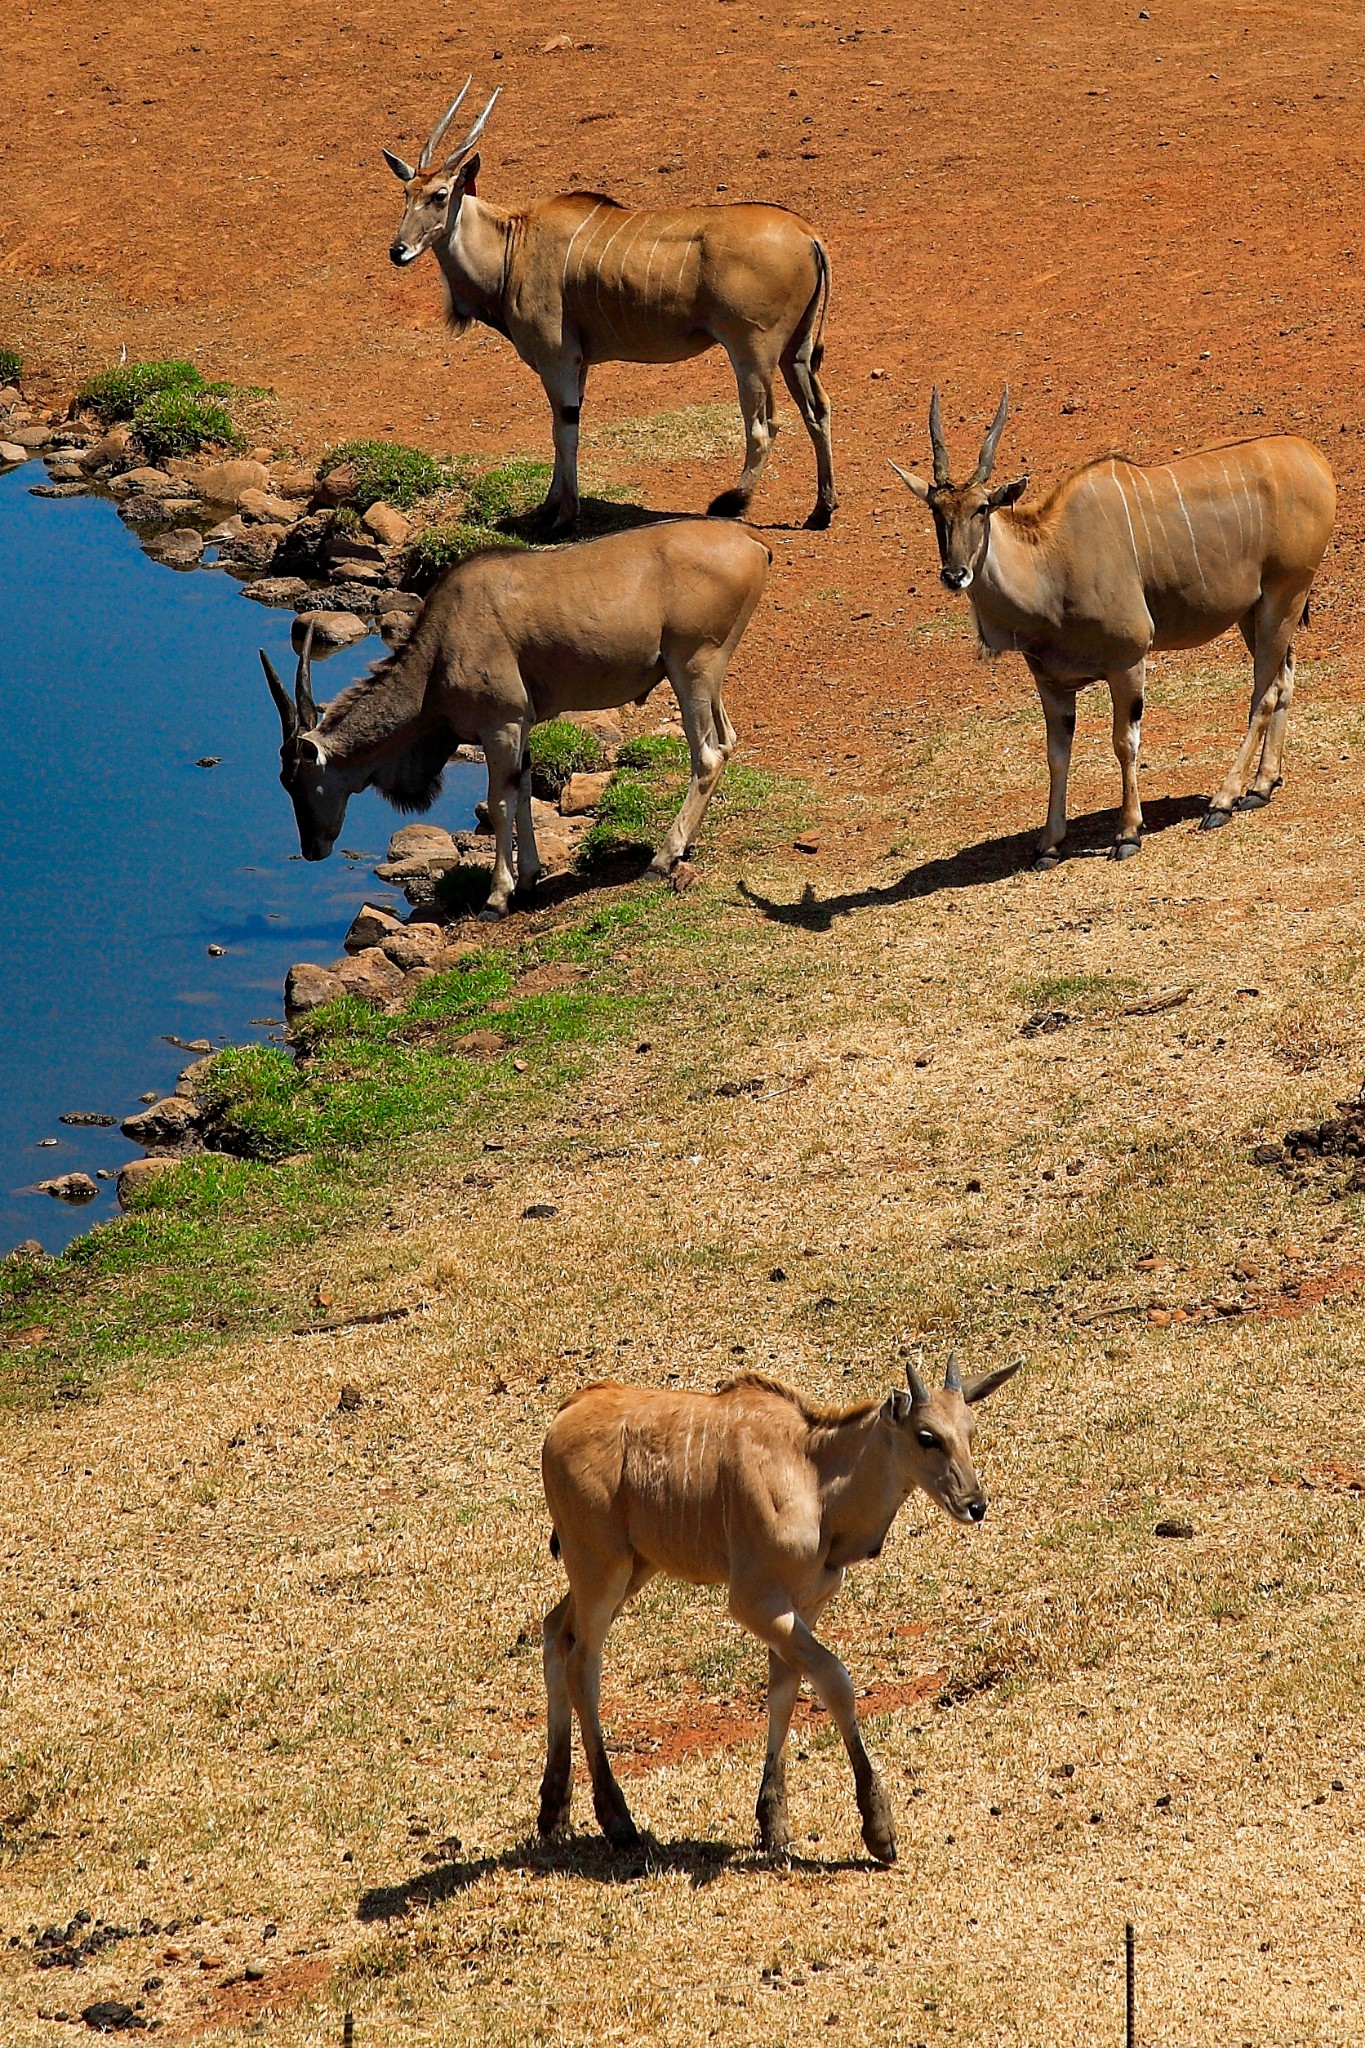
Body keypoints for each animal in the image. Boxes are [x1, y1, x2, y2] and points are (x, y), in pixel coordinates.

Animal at [255, 520, 769, 921]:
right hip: (705, 677)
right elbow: (521, 788)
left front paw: (497, 898)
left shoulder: (500, 725)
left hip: (691, 668)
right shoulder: (521, 726)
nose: (312, 848)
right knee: (726, 742)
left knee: (707, 755)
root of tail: (750, 540)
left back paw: (662, 858)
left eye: (295, 781)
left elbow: (500, 803)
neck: (441, 646)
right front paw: (528, 879)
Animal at [378, 88, 839, 536]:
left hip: (752, 351)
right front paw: (548, 507)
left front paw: (565, 515)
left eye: (440, 196)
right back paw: (822, 510)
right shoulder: (577, 363)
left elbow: (565, 428)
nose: (398, 250)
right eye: (406, 194)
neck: (513, 245)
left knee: (764, 424)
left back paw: (731, 503)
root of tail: (809, 234)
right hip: (794, 350)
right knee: (817, 409)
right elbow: (560, 426)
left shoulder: (558, 358)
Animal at [532, 1351, 1015, 1867]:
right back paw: (618, 1820)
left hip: (630, 1569)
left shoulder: (802, 1606)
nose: (975, 1504)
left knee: (555, 1631)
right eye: (927, 1437)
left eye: (969, 1432)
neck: (814, 1475)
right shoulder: (755, 1603)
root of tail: (566, 1413)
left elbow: (784, 1693)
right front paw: (878, 1827)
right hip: (602, 1568)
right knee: (583, 1662)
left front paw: (774, 1824)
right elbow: (835, 1681)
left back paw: (554, 1811)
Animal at [896, 391, 1334, 864]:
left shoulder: (1128, 662)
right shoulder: (1052, 682)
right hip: (1254, 613)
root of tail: (1313, 458)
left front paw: (1127, 833)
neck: (1052, 559)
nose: (954, 574)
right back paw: (1261, 785)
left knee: (1264, 693)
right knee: (1284, 681)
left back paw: (1223, 800)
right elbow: (1057, 754)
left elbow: (1125, 742)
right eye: (936, 510)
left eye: (982, 509)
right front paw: (1050, 844)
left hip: (1284, 598)